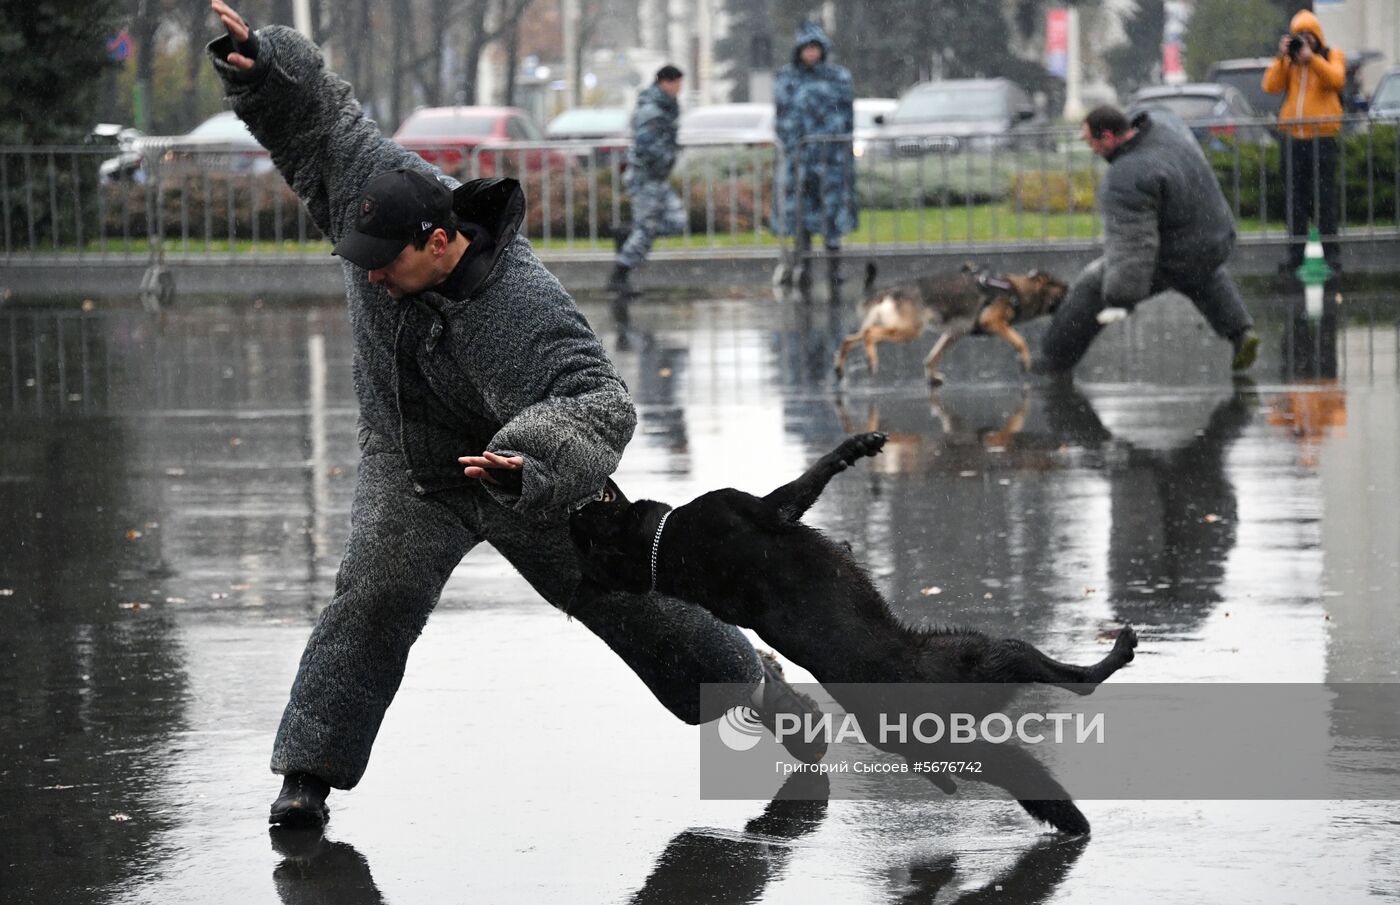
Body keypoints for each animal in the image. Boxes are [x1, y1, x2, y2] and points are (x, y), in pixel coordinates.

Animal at [568, 431, 1136, 834]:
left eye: (584, 523)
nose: (572, 504)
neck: (662, 550)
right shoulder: (768, 507)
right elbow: (817, 471)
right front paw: (856, 448)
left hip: (959, 746)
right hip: (986, 654)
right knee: (1073, 679)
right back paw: (1116, 653)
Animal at [828, 264, 1069, 389]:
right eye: (1063, 290)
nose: (1072, 290)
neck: (1016, 291)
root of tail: (888, 291)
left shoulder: (953, 334)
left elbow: (932, 357)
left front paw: (932, 377)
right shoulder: (992, 322)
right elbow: (1020, 341)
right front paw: (1025, 361)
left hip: (893, 327)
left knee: (849, 340)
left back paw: (839, 369)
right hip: (908, 331)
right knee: (870, 334)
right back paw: (871, 361)